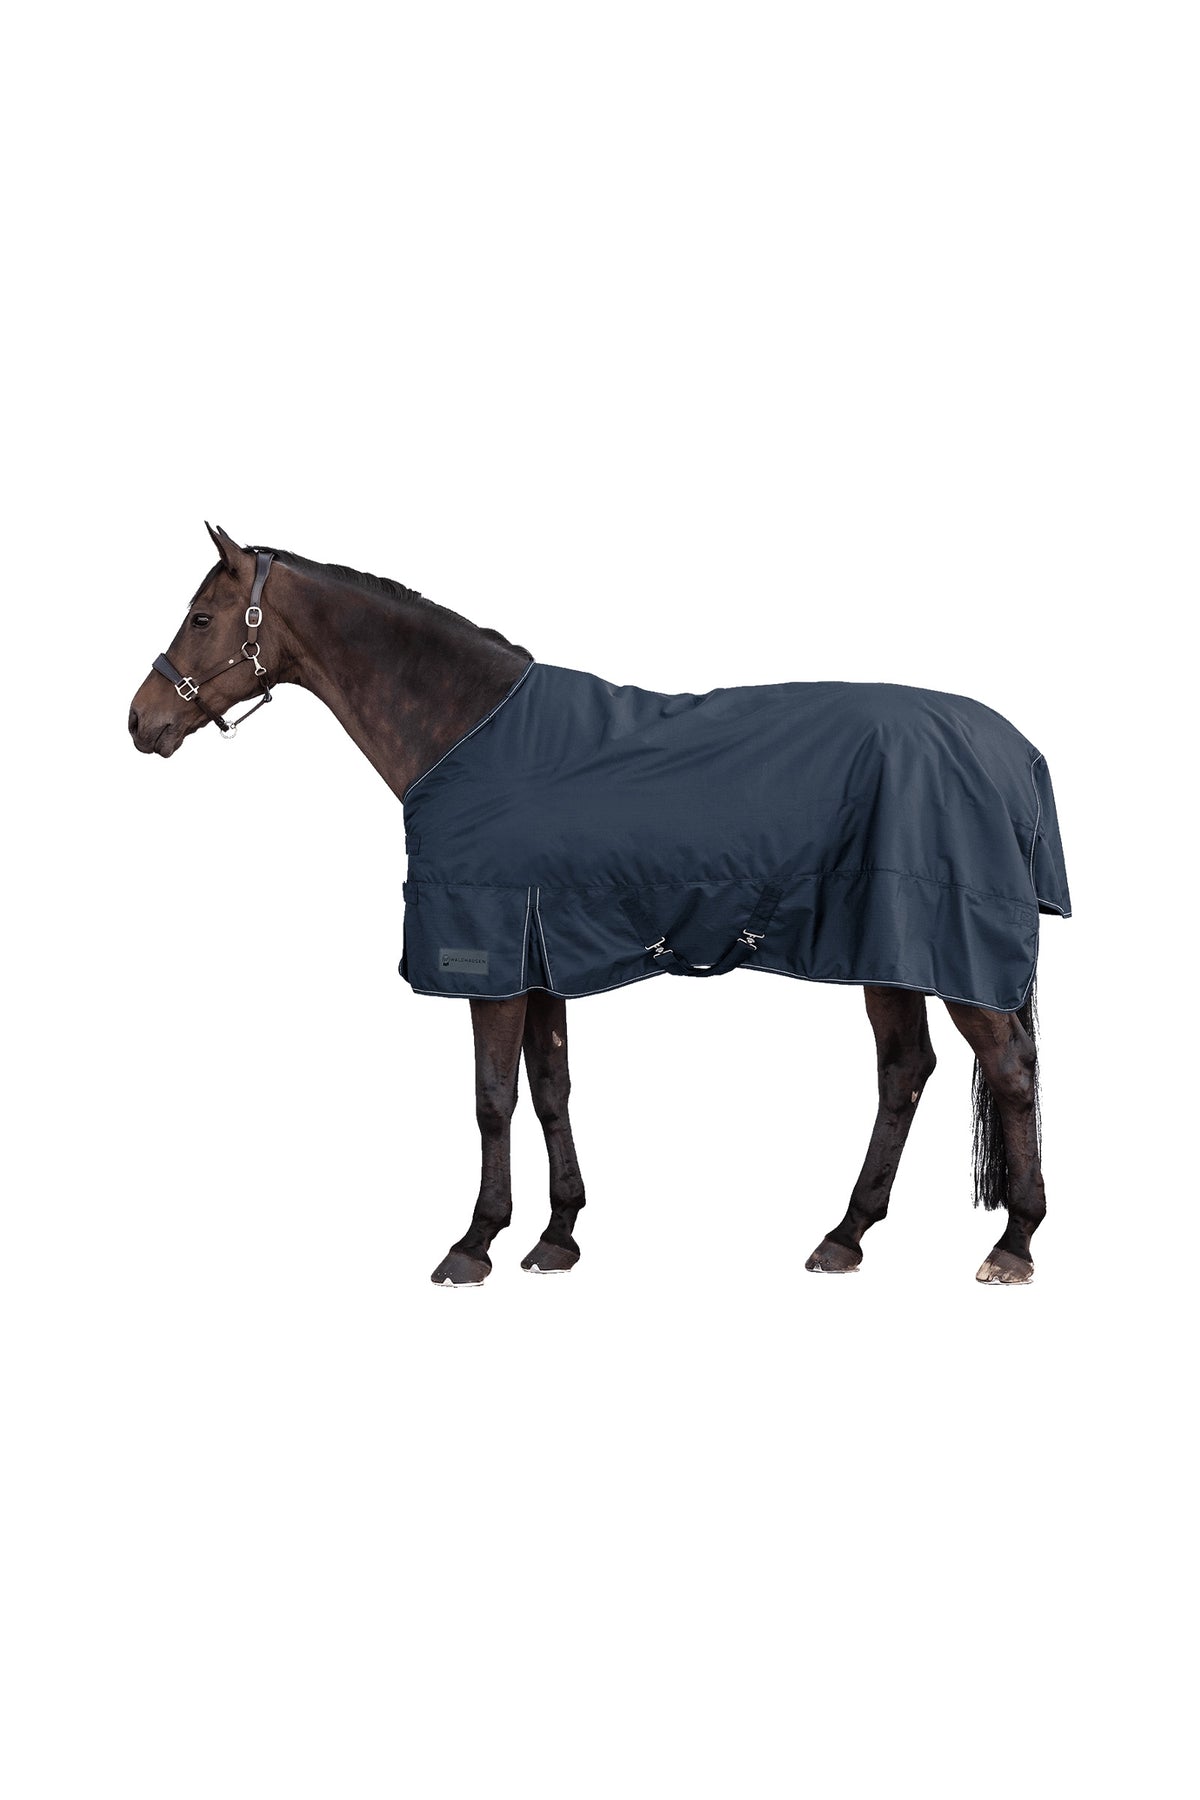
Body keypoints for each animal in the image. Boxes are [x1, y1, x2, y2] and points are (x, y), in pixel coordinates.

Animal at [129, 524, 1069, 1288]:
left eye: (202, 619)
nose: (141, 721)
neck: (466, 729)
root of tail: (1016, 751)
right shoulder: (541, 952)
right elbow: (551, 1090)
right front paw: (557, 1237)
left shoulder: (490, 954)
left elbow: (492, 1100)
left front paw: (474, 1243)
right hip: (889, 948)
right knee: (905, 1071)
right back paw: (846, 1235)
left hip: (948, 951)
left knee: (1010, 1071)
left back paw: (1013, 1244)